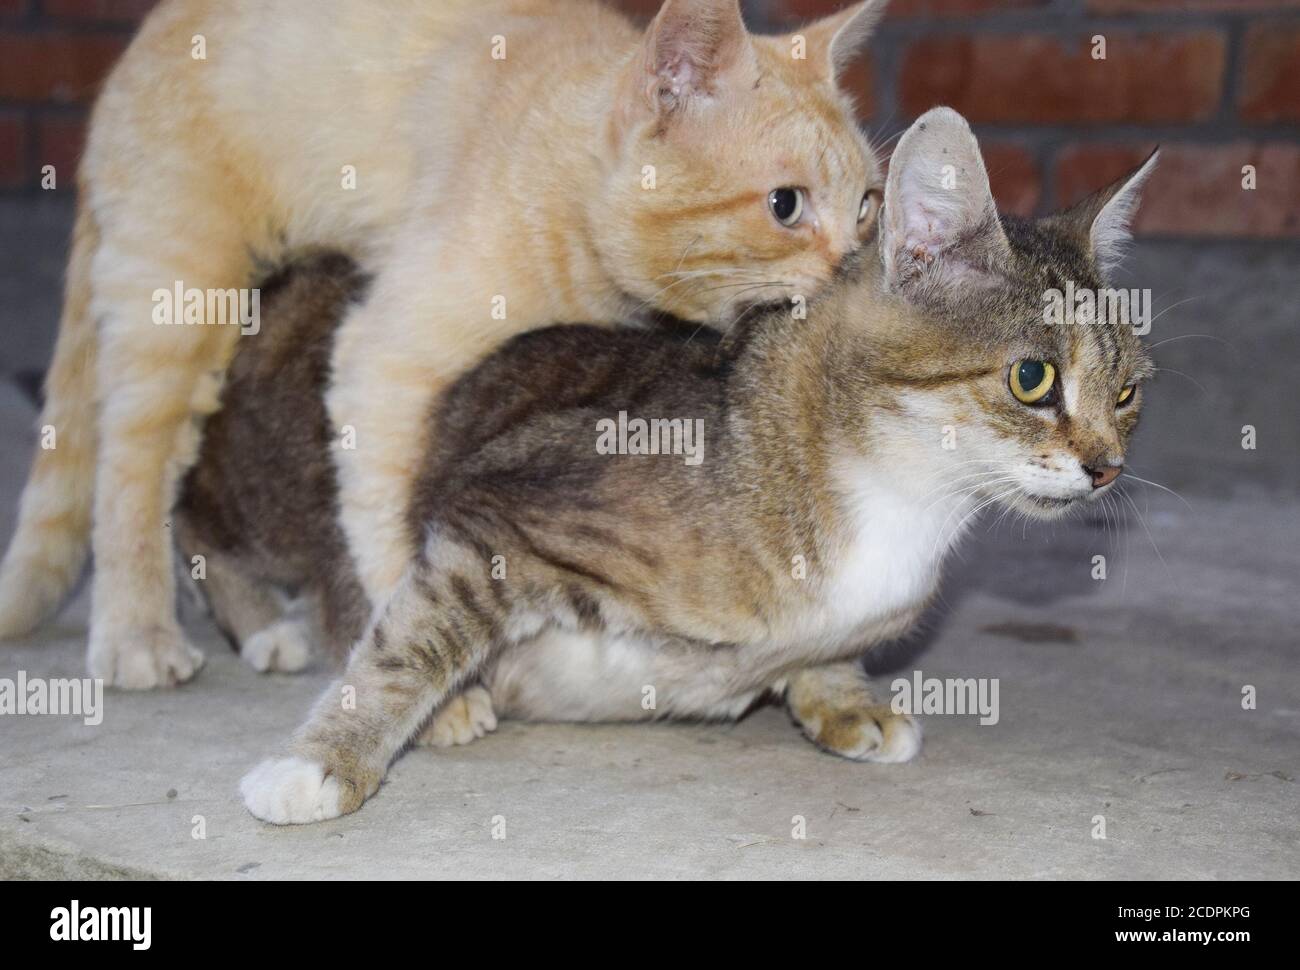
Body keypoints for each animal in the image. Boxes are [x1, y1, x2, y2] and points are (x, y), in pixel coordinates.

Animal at [0, 0, 889, 696]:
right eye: (785, 205)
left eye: (869, 206)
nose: (854, 263)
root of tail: (136, 48)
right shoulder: (379, 363)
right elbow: (390, 538)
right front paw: (434, 685)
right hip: (181, 301)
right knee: (135, 473)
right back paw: (137, 635)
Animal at [178, 109, 1154, 821]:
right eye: (1033, 378)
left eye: (1130, 391)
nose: (1106, 468)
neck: (901, 500)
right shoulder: (496, 520)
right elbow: (405, 646)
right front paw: (322, 765)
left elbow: (826, 654)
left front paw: (841, 699)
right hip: (267, 484)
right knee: (199, 517)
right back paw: (271, 632)